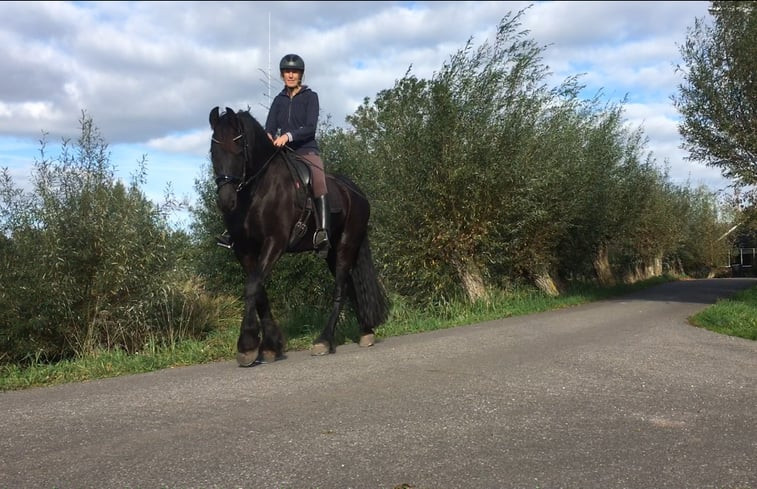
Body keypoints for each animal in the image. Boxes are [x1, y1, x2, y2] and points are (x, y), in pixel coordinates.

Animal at [207, 107, 386, 366]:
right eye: (213, 151)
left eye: (238, 149)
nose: (226, 201)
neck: (257, 191)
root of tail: (357, 193)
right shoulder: (245, 250)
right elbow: (259, 291)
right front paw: (270, 346)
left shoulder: (275, 243)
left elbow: (252, 287)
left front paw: (247, 345)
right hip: (332, 252)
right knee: (350, 286)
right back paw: (365, 331)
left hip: (347, 244)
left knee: (340, 288)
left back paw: (324, 340)